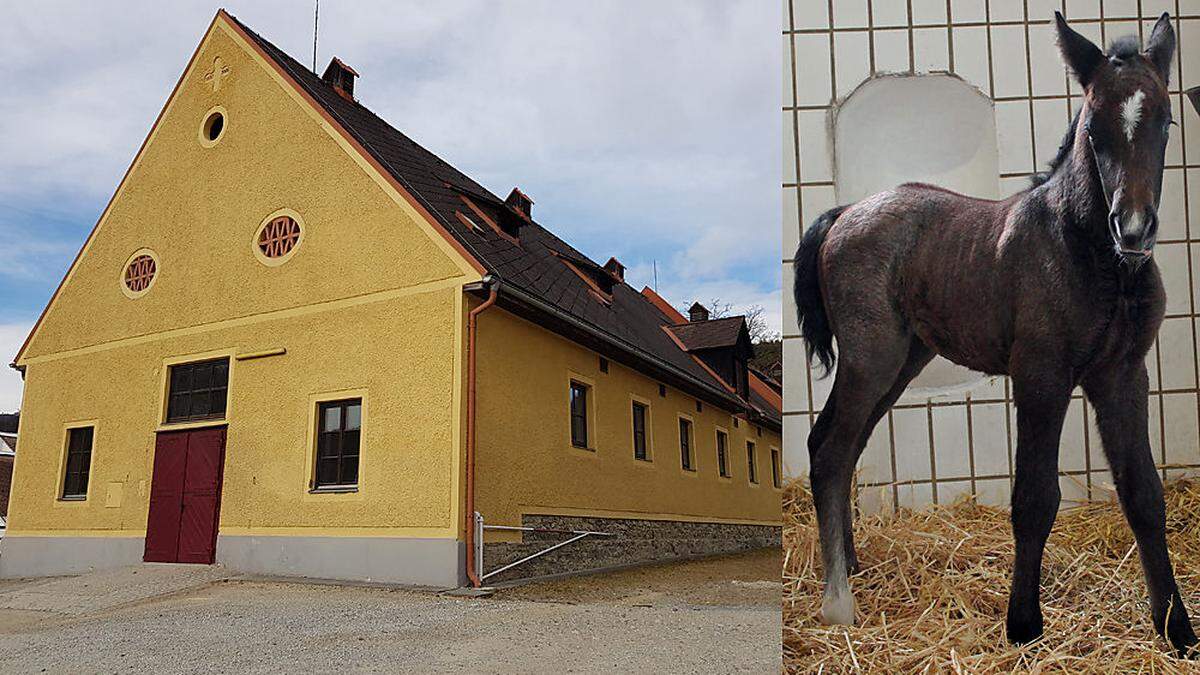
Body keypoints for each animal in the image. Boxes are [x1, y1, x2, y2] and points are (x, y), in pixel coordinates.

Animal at [792, 9, 1195, 653]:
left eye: (1165, 120)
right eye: (1093, 127)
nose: (1133, 228)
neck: (1095, 259)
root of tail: (843, 212)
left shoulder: (1123, 375)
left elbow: (1143, 493)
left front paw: (1175, 628)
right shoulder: (1041, 377)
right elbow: (1033, 496)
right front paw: (1023, 624)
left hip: (902, 362)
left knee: (840, 444)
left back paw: (852, 567)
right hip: (870, 356)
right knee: (830, 448)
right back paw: (838, 602)